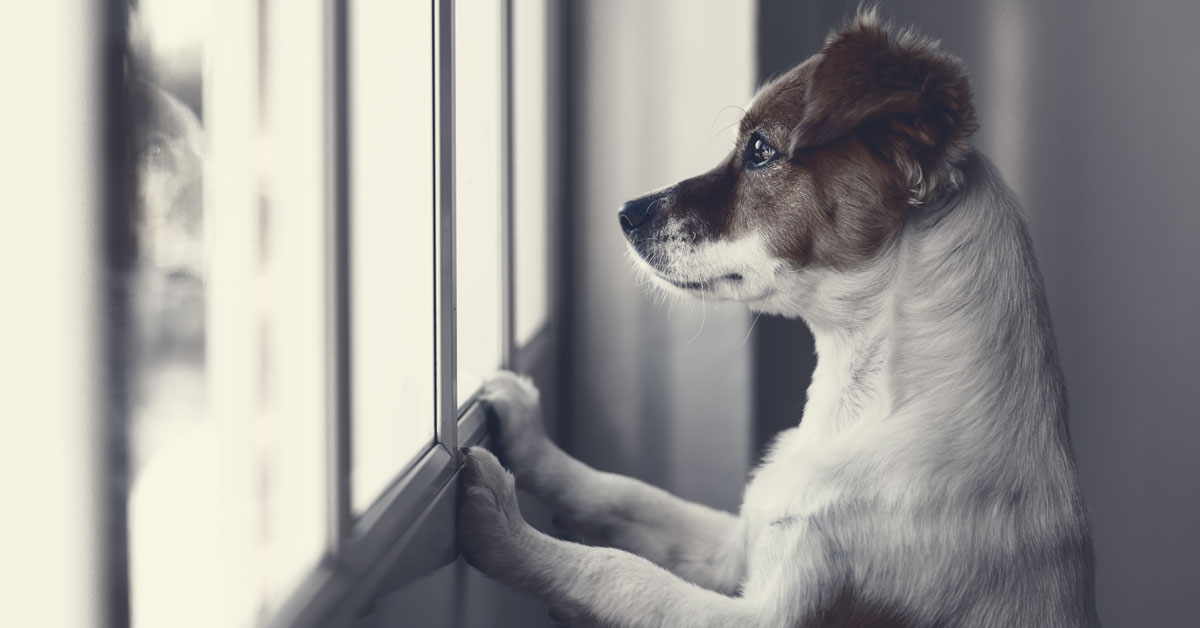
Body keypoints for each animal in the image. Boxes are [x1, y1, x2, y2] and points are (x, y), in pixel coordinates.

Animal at [456, 11, 1099, 628]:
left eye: (761, 151)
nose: (625, 213)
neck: (860, 409)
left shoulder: (768, 614)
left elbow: (621, 574)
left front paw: (508, 531)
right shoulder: (736, 546)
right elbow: (623, 496)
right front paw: (530, 439)